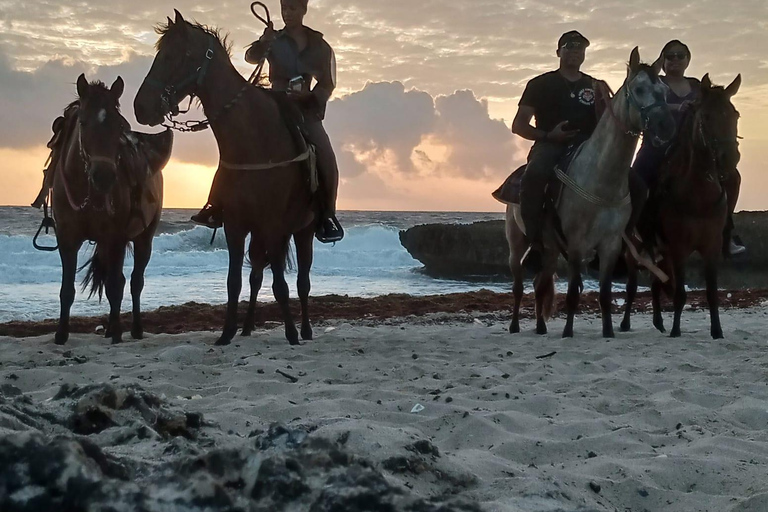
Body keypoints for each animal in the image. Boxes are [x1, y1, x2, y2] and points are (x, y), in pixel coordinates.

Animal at [51, 73, 171, 344]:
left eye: (118, 126)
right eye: (83, 122)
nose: (104, 176)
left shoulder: (115, 237)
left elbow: (117, 286)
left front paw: (116, 332)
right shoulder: (67, 239)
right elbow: (67, 289)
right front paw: (61, 333)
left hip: (143, 238)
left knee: (135, 281)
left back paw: (134, 328)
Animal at [136, 11, 318, 348]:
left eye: (174, 55)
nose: (140, 106)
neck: (253, 141)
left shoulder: (273, 224)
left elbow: (282, 284)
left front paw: (290, 333)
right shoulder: (236, 225)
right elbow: (235, 281)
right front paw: (227, 332)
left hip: (303, 230)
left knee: (302, 281)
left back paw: (305, 330)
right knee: (257, 274)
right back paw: (247, 327)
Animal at [508, 46, 676, 338]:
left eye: (665, 91)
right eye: (640, 89)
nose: (666, 127)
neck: (601, 179)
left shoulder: (610, 245)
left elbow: (605, 294)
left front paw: (608, 331)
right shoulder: (576, 245)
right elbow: (573, 293)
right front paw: (567, 332)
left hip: (551, 249)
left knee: (541, 284)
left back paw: (540, 327)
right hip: (518, 243)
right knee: (519, 285)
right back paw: (515, 325)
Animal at [620, 71, 740, 336]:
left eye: (734, 115)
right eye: (706, 116)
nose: (730, 157)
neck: (698, 196)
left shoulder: (711, 247)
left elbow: (711, 293)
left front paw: (717, 332)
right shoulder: (679, 248)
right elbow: (679, 295)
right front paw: (676, 331)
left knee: (655, 284)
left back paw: (658, 322)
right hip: (637, 251)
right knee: (632, 285)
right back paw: (625, 324)